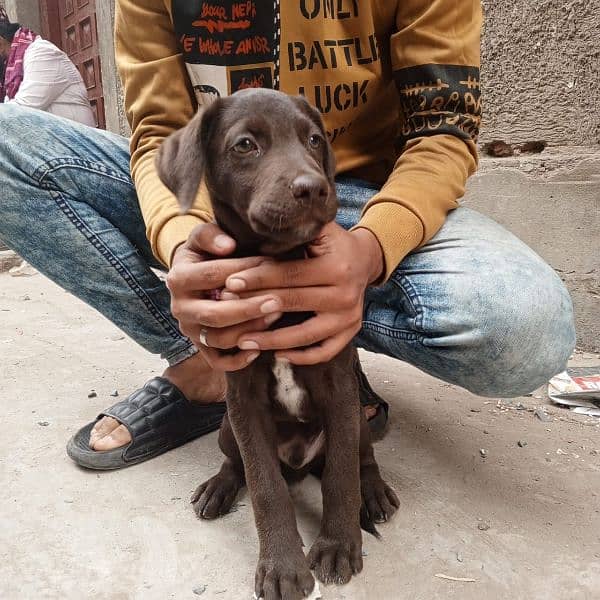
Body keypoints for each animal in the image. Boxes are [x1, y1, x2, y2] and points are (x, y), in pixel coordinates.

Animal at [157, 89, 396, 600]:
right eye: (245, 144)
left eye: (314, 140)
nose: (313, 188)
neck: (277, 262)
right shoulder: (243, 401)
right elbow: (265, 486)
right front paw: (283, 567)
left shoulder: (339, 390)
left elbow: (341, 476)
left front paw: (337, 546)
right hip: (227, 426)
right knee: (239, 465)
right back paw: (218, 487)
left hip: (358, 418)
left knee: (361, 458)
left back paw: (374, 492)